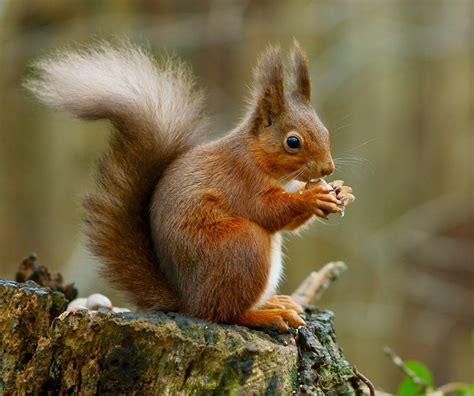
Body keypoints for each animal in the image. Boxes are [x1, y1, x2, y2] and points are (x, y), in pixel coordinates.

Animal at [25, 41, 352, 332]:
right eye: (292, 141)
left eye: (324, 130)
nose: (328, 168)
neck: (257, 157)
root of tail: (188, 301)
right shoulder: (240, 180)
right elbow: (268, 211)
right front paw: (313, 197)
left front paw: (342, 191)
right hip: (240, 246)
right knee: (224, 313)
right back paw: (265, 315)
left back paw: (273, 303)